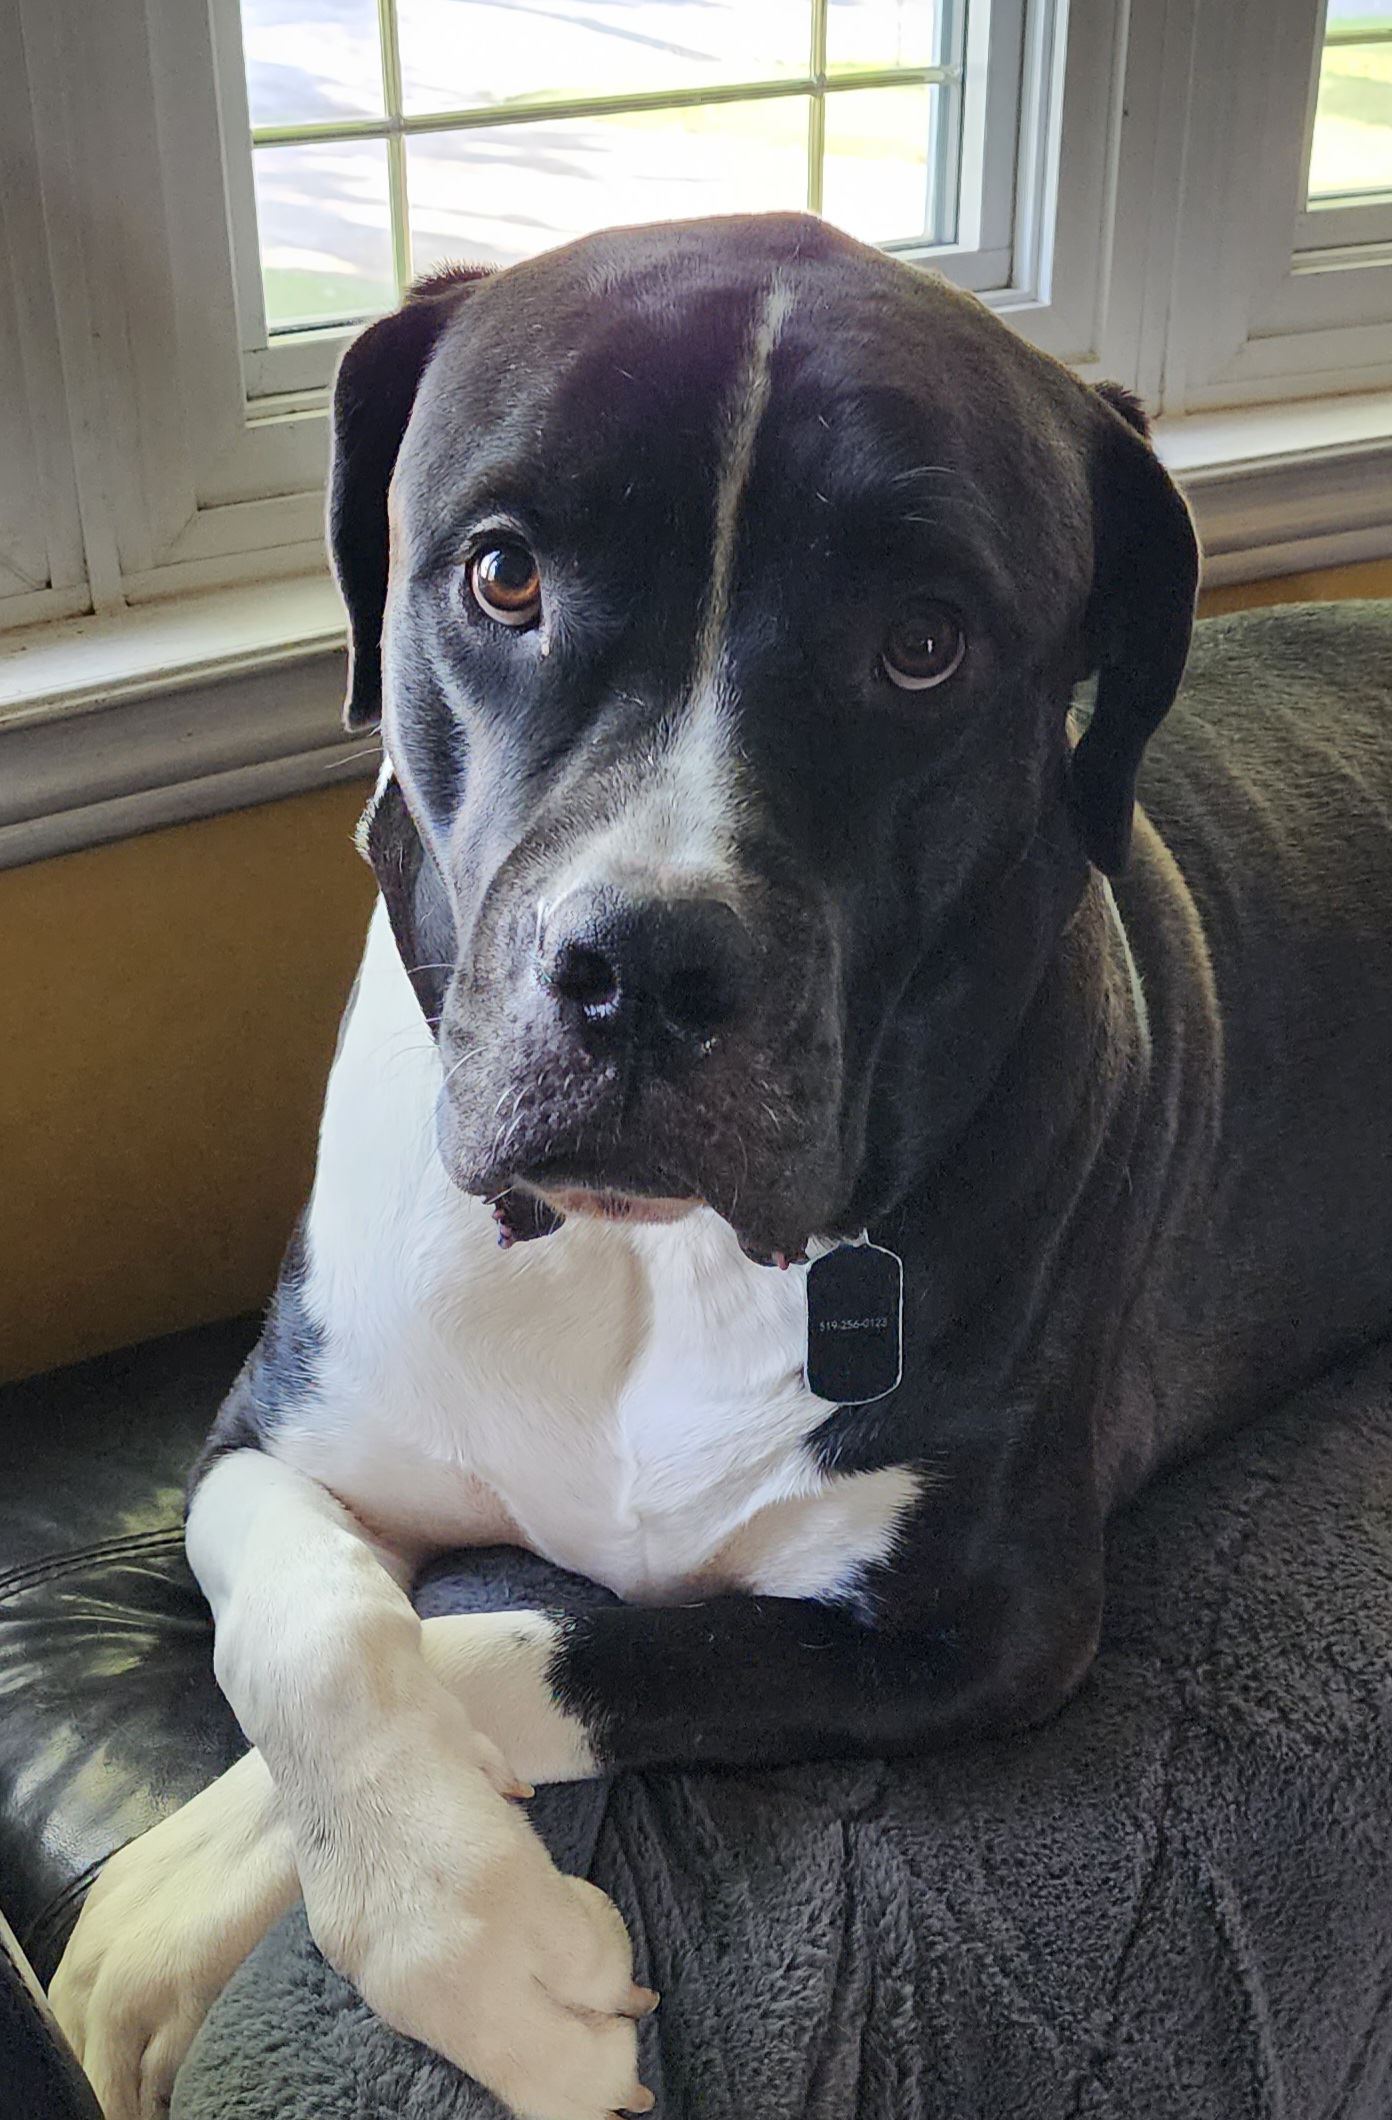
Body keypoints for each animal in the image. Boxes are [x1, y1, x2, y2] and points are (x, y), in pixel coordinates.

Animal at [50, 212, 1392, 2120]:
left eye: (926, 643)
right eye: (503, 576)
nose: (642, 970)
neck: (640, 1256)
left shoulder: (976, 1637)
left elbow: (549, 1637)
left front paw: (419, 1940)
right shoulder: (265, 1438)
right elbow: (307, 1631)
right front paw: (385, 1902)